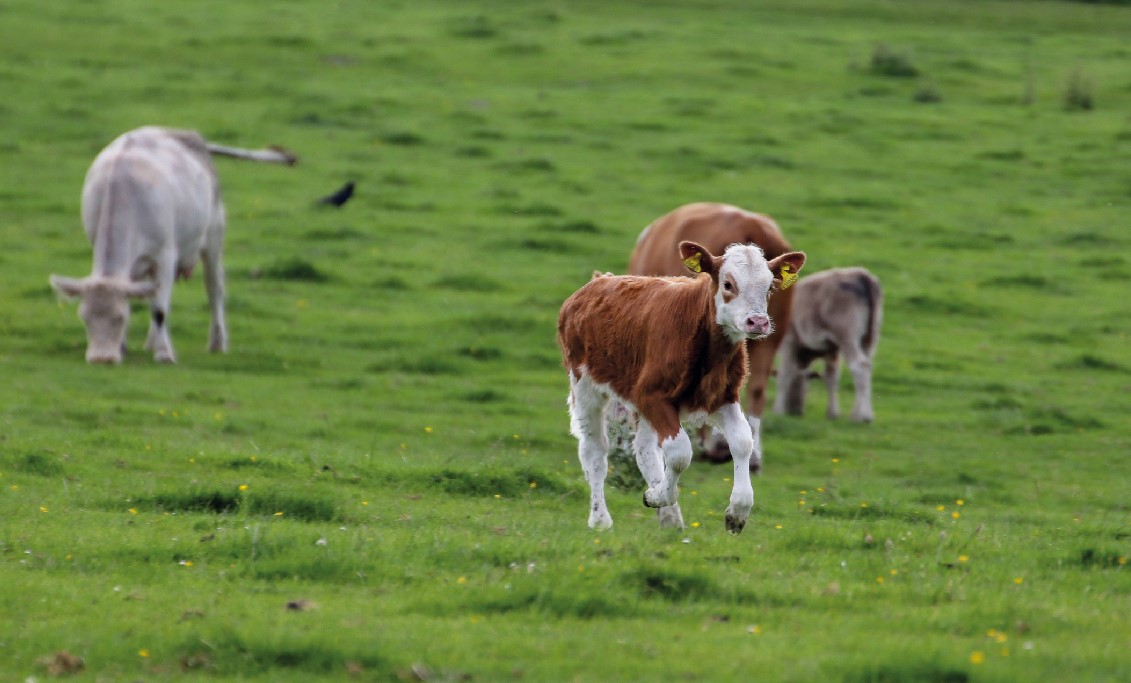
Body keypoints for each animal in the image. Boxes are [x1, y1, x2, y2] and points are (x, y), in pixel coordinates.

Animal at [48, 126, 296, 366]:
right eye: (84, 317)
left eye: (120, 317)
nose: (101, 359)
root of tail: (189, 135)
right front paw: (124, 347)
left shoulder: (165, 255)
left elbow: (159, 309)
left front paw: (164, 353)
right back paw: (151, 341)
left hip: (214, 236)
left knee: (214, 288)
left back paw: (216, 342)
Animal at [558, 239, 805, 533]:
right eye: (728, 284)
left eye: (769, 288)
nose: (758, 322)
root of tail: (598, 281)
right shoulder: (652, 396)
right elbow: (679, 453)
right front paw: (656, 496)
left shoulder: (723, 397)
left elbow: (743, 442)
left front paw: (738, 511)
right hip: (586, 385)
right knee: (595, 450)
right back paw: (600, 519)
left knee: (645, 450)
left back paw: (670, 519)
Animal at [773, 266, 886, 420]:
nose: (796, 411)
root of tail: (860, 275)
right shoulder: (831, 349)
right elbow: (831, 378)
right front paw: (832, 413)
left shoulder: (788, 341)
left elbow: (785, 375)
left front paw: (778, 410)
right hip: (868, 338)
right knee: (867, 366)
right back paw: (856, 414)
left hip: (846, 335)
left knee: (859, 365)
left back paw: (864, 416)